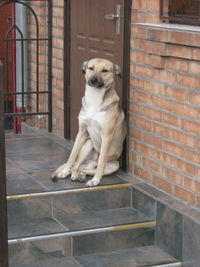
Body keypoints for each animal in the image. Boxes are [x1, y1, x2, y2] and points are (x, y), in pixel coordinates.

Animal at [51, 58, 126, 186]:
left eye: (104, 70)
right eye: (91, 68)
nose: (93, 80)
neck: (95, 98)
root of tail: (91, 163)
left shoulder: (107, 136)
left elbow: (101, 162)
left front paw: (96, 180)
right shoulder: (81, 132)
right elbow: (71, 156)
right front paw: (65, 171)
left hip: (114, 165)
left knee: (91, 168)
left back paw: (82, 176)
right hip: (88, 144)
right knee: (75, 165)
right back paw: (72, 173)